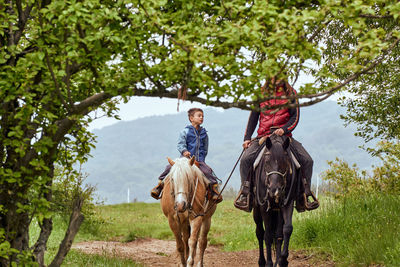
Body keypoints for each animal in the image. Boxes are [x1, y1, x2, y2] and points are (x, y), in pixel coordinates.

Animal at [252, 136, 298, 267]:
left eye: (285, 162)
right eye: (267, 162)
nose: (274, 190)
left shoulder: (287, 203)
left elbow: (286, 230)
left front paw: (282, 260)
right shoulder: (264, 207)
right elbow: (267, 236)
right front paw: (269, 263)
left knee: (277, 233)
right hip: (257, 210)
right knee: (260, 233)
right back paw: (262, 261)